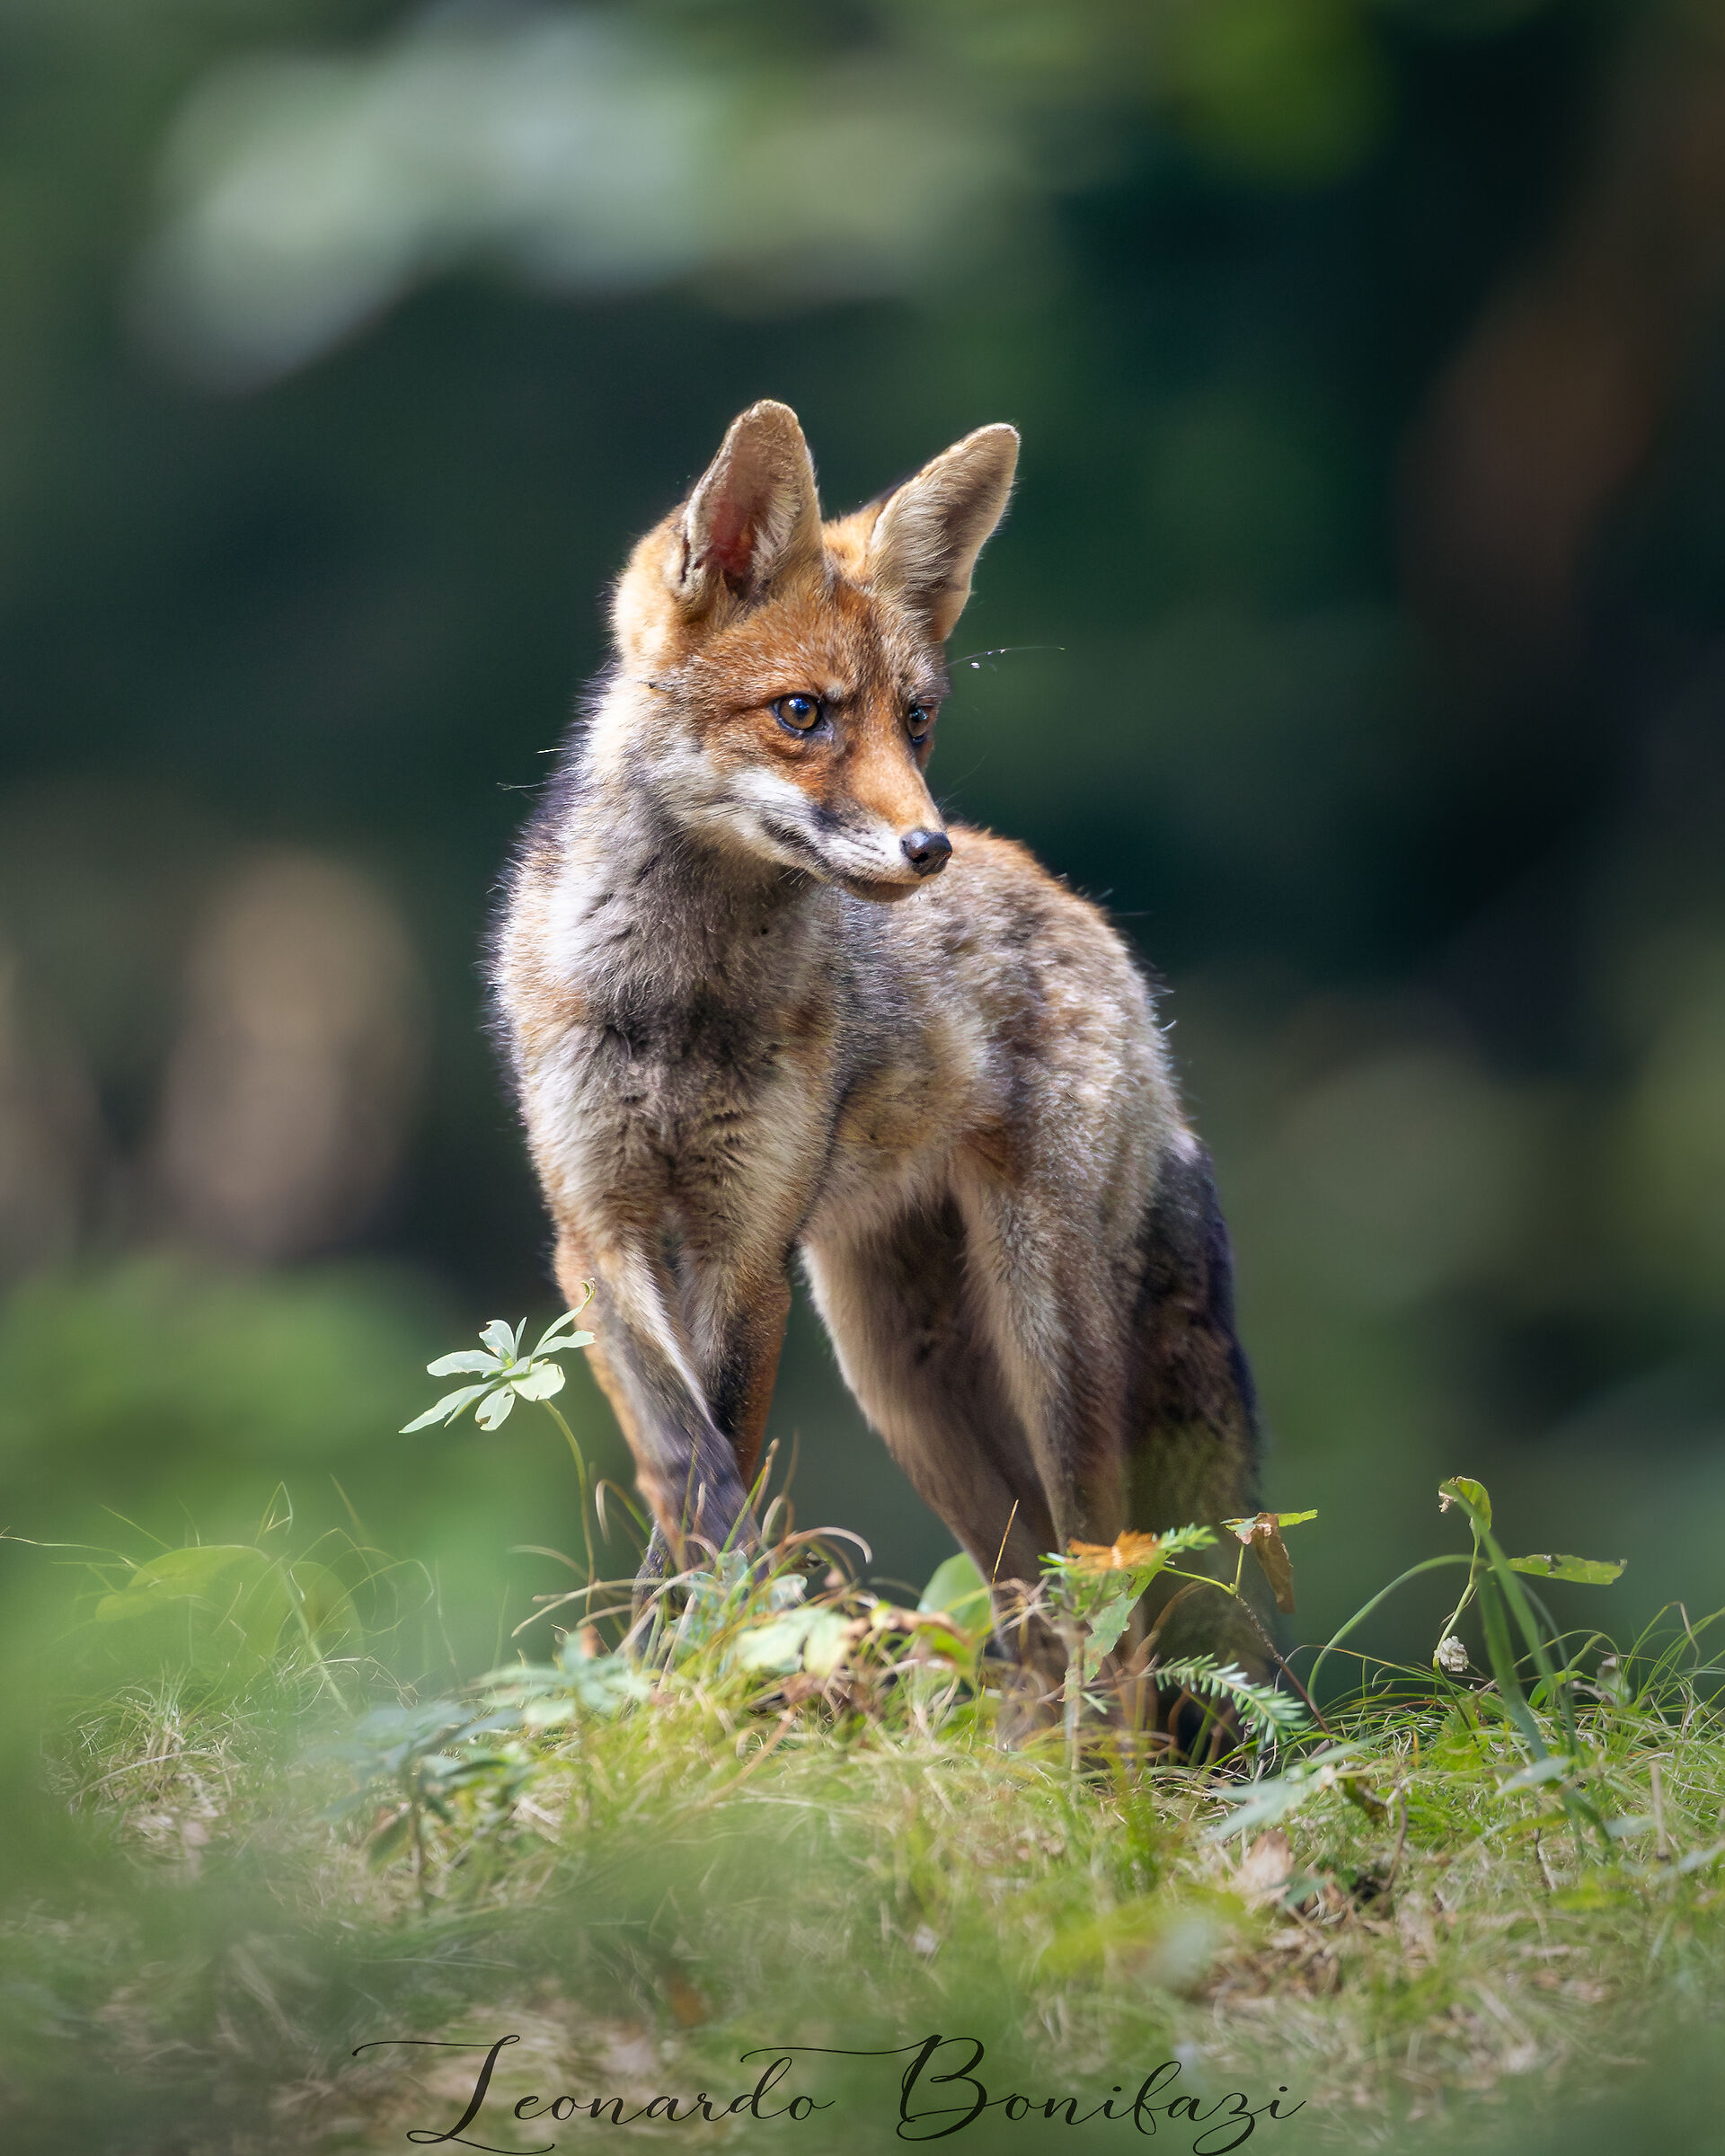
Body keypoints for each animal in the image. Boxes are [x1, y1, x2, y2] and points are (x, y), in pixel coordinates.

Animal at [492, 400, 1265, 1717]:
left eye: (916, 721)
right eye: (802, 713)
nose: (928, 848)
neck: (673, 997)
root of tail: (1091, 923)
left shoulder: (745, 1252)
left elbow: (718, 1461)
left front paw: (712, 1650)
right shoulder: (593, 1233)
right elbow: (680, 1458)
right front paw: (679, 1658)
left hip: (1044, 1339)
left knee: (1108, 1599)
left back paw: (1097, 1764)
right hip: (906, 1381)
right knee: (1036, 1606)